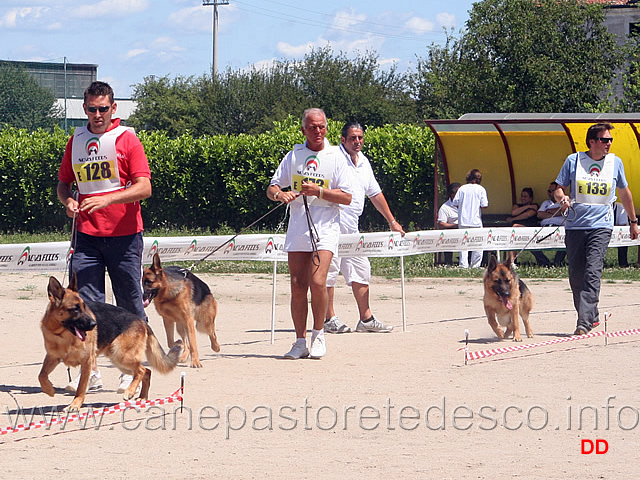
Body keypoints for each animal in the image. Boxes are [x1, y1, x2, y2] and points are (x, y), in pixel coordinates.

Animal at [39, 276, 182, 410]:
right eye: (75, 309)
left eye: (84, 307)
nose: (94, 324)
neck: (61, 335)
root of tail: (141, 320)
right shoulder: (52, 357)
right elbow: (41, 375)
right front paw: (49, 389)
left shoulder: (87, 362)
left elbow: (81, 387)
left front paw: (75, 405)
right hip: (119, 361)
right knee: (147, 371)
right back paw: (142, 397)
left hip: (121, 356)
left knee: (141, 370)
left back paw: (130, 391)